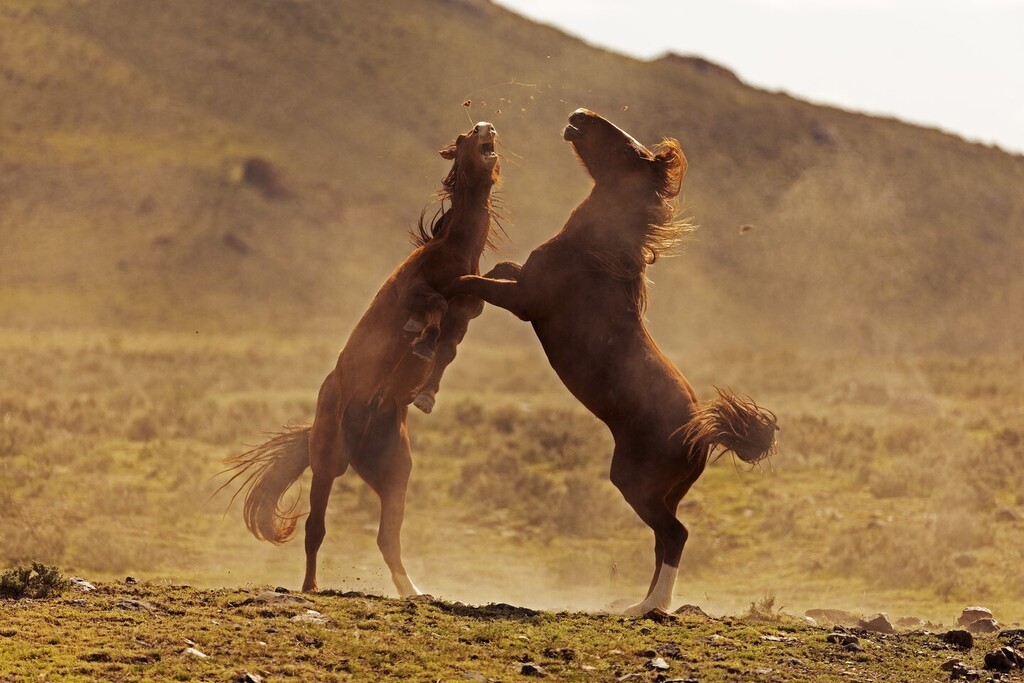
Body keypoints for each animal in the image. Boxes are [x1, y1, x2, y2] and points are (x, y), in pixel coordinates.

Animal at [222, 122, 501, 598]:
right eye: (465, 136)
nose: (487, 127)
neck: (454, 249)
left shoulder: (468, 313)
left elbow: (447, 348)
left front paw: (426, 391)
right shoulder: (413, 290)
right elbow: (432, 309)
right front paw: (417, 335)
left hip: (393, 473)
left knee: (387, 538)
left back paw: (413, 592)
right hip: (328, 462)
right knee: (315, 529)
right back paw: (311, 586)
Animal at [448, 108, 774, 614]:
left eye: (626, 149)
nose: (579, 115)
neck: (593, 251)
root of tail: (702, 431)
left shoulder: (526, 301)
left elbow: (477, 281)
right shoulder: (524, 284)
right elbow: (501, 270)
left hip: (635, 485)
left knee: (676, 536)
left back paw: (648, 608)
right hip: (664, 493)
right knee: (662, 541)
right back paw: (637, 604)